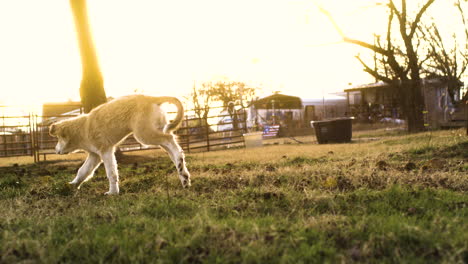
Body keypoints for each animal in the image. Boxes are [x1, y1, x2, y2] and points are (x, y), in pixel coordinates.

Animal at [49, 94, 190, 194]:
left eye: (58, 139)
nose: (55, 150)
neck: (83, 128)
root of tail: (151, 98)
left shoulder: (105, 150)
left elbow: (111, 172)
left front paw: (113, 193)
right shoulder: (95, 155)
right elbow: (83, 171)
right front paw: (72, 185)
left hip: (144, 134)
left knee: (170, 140)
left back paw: (180, 163)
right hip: (154, 130)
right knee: (171, 144)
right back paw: (183, 175)